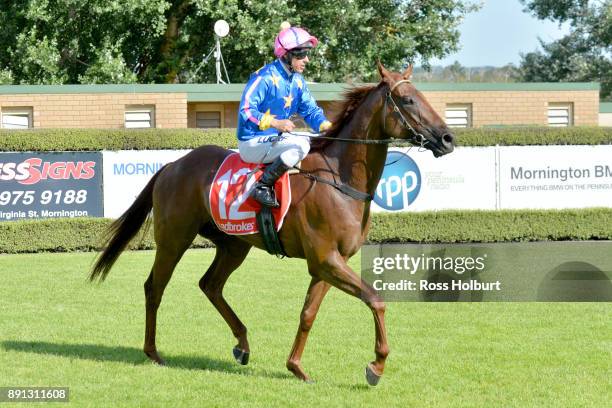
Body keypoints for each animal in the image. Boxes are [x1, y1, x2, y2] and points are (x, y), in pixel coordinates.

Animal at [91, 63, 454, 386]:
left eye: (422, 95)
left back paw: (242, 344)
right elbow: (376, 299)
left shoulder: (328, 264)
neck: (339, 179)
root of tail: (171, 165)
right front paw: (376, 366)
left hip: (233, 244)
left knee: (210, 285)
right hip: (174, 239)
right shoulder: (326, 260)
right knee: (155, 287)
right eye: (408, 100)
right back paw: (153, 351)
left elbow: (308, 314)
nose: (448, 138)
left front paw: (296, 367)